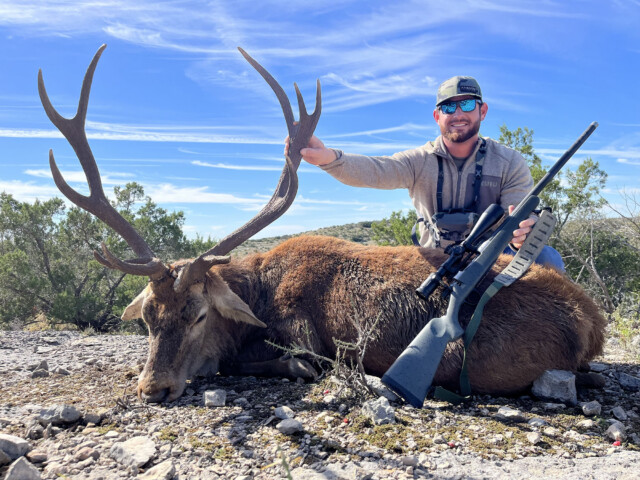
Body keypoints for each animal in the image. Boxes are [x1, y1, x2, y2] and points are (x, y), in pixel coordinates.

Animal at [39, 45, 607, 404]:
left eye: (199, 315)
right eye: (146, 318)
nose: (153, 389)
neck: (260, 295)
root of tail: (593, 323)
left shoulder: (303, 342)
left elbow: (261, 363)